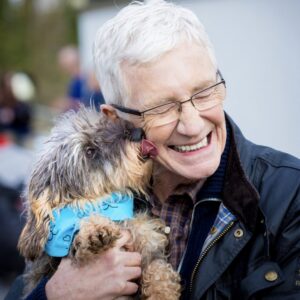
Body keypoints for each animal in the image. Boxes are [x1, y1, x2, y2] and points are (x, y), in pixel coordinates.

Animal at [19, 106, 183, 298]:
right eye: (90, 151)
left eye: (105, 123)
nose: (138, 132)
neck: (108, 203)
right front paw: (95, 229)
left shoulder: (148, 239)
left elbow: (157, 268)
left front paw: (163, 292)